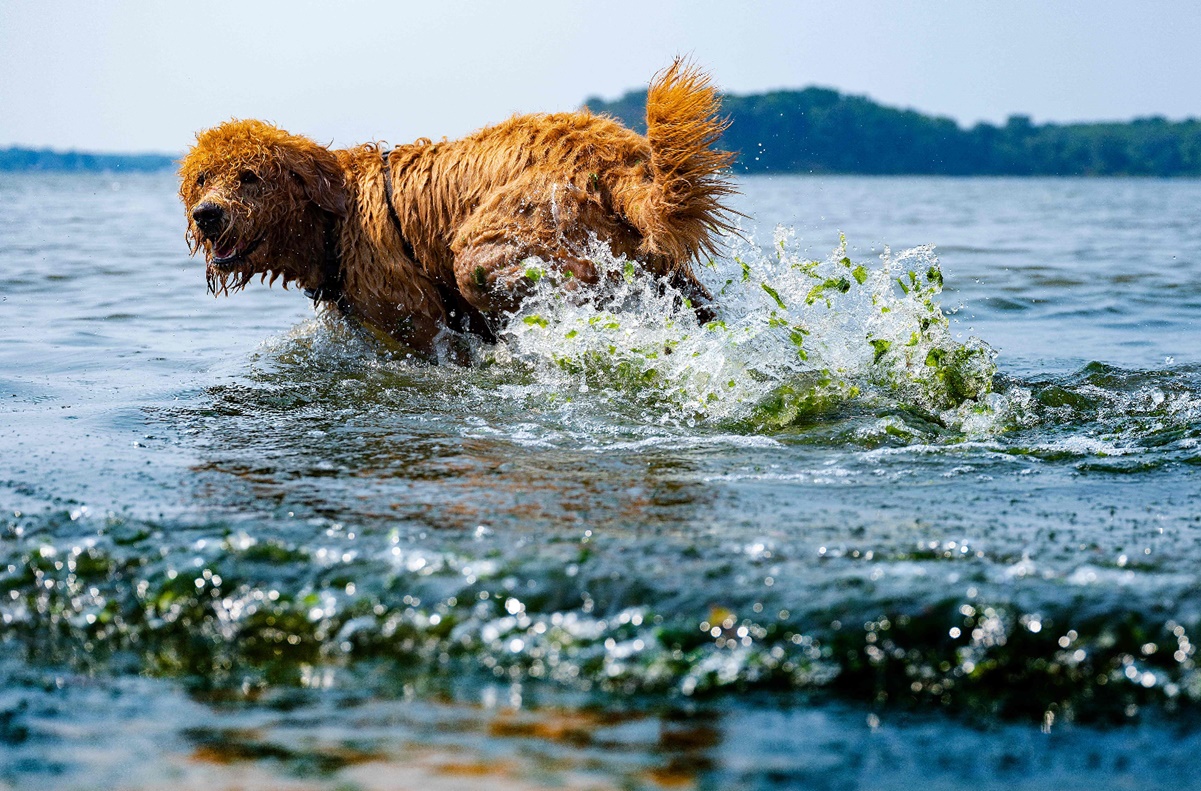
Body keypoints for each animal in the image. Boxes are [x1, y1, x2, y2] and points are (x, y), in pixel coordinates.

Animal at [180, 62, 730, 360]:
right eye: (203, 178)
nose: (207, 214)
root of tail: (618, 156)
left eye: (250, 177)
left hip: (500, 244)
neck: (337, 220)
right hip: (657, 262)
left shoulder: (416, 321)